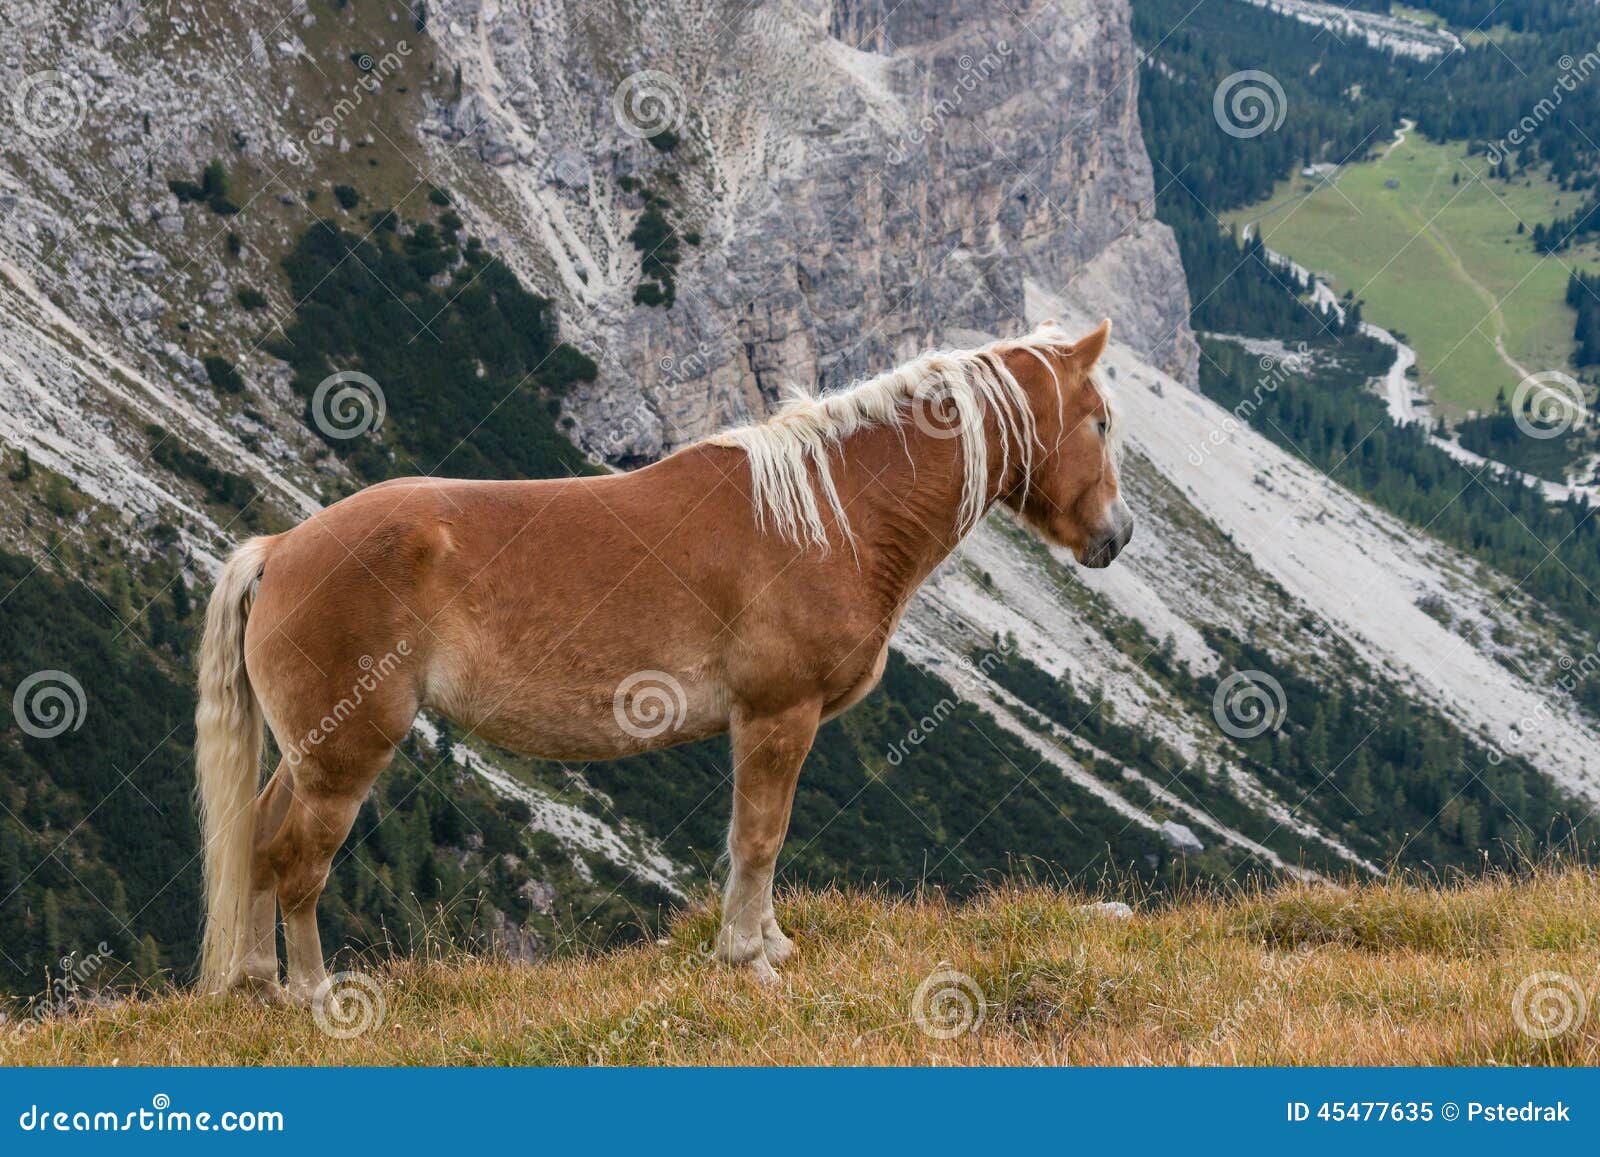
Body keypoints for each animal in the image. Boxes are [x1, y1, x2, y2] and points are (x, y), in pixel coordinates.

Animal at [194, 317, 1132, 1002]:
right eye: (1100, 420)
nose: (1117, 537)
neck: (829, 511)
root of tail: (282, 548)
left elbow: (763, 840)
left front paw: (772, 942)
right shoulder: (776, 715)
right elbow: (759, 834)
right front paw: (747, 956)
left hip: (308, 752)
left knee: (260, 841)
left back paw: (260, 984)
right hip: (343, 755)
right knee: (297, 864)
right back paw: (317, 996)